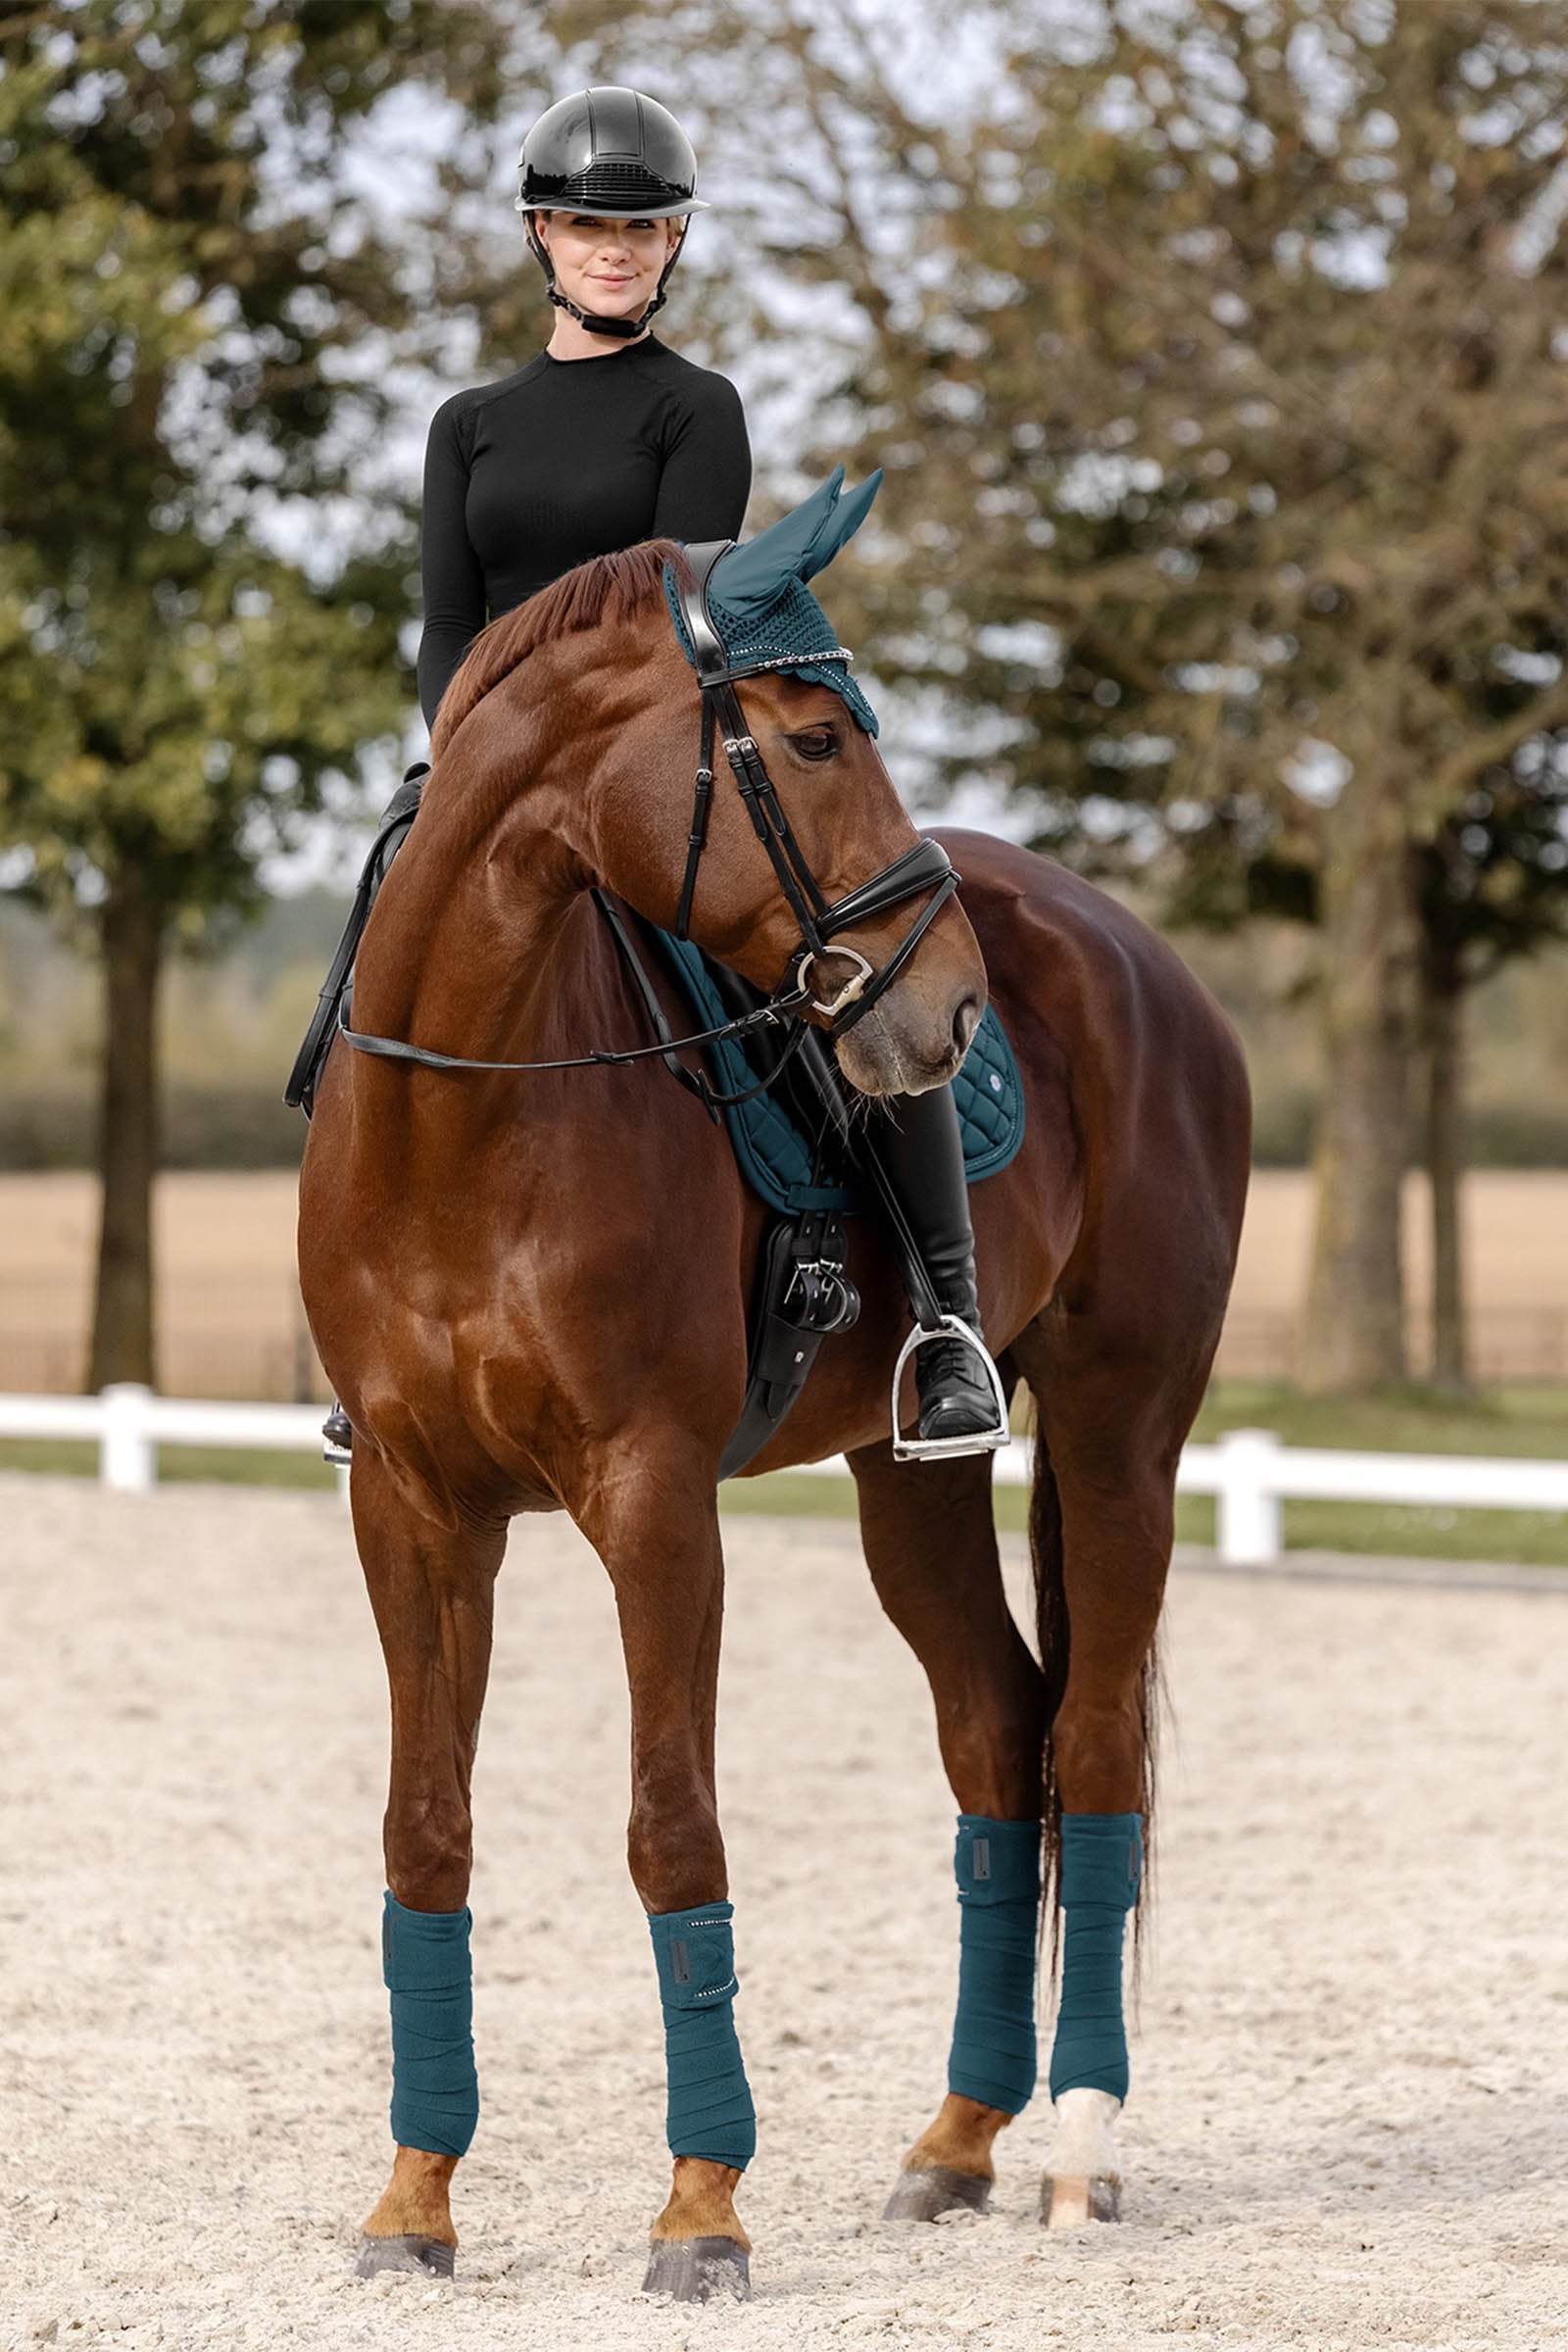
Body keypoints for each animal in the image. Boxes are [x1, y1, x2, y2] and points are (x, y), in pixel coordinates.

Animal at [297, 467, 1251, 2302]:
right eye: (811, 739)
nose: (948, 1006)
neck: (471, 1104)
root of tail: (1145, 957)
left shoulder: (653, 1498)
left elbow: (674, 1830)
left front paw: (701, 2213)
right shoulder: (412, 1506)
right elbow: (422, 1830)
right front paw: (413, 2204)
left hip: (1121, 1433)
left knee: (1091, 1745)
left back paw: (1076, 2150)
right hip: (908, 1479)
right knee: (994, 1735)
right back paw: (955, 2144)